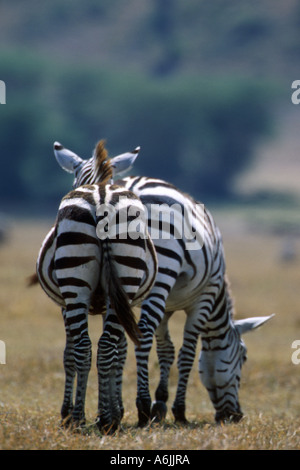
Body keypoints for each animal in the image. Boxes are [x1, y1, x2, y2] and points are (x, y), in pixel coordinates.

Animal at [32, 140, 158, 434]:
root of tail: (101, 196)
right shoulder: (120, 300)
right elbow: (120, 351)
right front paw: (115, 409)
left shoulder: (64, 305)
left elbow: (68, 353)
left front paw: (68, 412)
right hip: (123, 279)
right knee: (104, 348)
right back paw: (106, 419)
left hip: (75, 287)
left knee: (83, 347)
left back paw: (78, 417)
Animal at [52, 140, 274, 426]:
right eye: (244, 357)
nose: (235, 416)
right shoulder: (203, 298)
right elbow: (186, 353)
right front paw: (176, 409)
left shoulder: (165, 306)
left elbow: (166, 349)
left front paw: (160, 402)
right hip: (162, 273)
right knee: (143, 335)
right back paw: (142, 407)